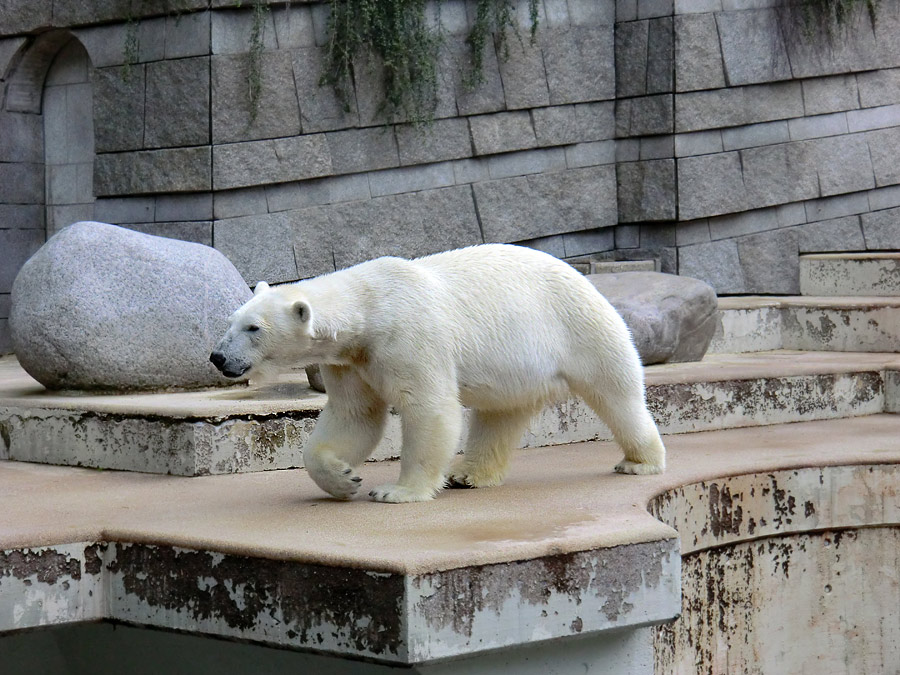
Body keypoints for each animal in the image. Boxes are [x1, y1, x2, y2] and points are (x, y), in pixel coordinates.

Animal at [209, 243, 660, 502]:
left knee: (616, 393)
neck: (368, 308)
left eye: (253, 328)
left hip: (579, 327)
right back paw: (469, 474)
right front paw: (344, 477)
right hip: (517, 367)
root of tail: (585, 279)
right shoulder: (349, 361)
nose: (217, 357)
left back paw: (640, 462)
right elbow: (354, 416)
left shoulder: (408, 336)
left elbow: (429, 408)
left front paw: (396, 491)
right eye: (231, 321)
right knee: (499, 415)